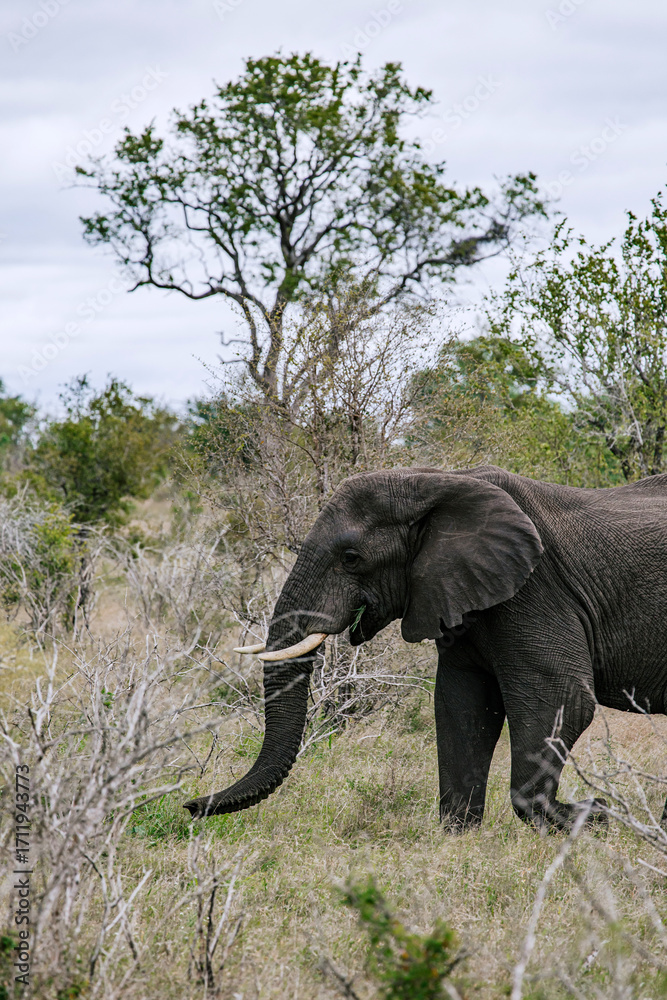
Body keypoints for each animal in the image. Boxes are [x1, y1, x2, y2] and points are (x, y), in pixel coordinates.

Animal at [183, 465, 667, 830]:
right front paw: (459, 833)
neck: (438, 482)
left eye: (352, 558)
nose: (189, 805)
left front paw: (594, 817)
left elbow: (562, 697)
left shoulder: (535, 590)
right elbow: (461, 705)